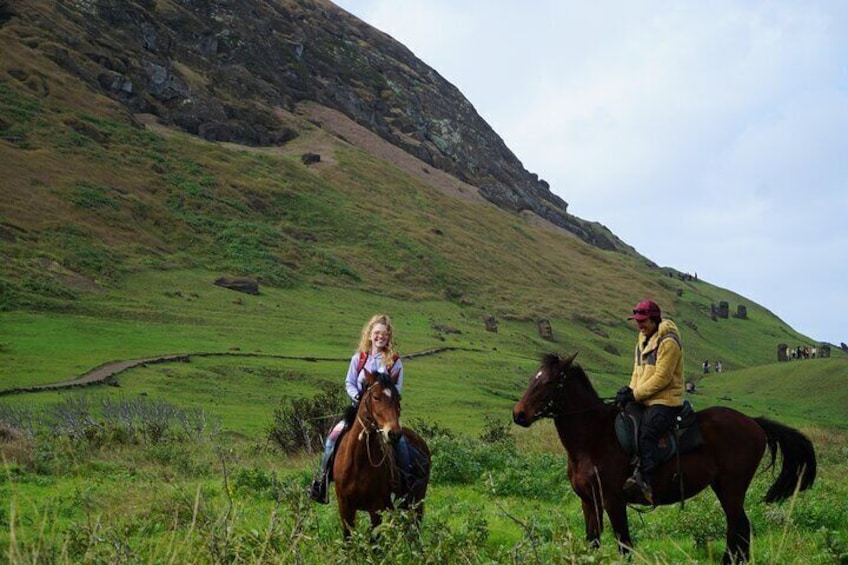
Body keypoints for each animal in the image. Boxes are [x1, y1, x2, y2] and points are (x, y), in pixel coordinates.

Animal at [332, 368, 430, 536]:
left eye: (398, 398)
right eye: (376, 397)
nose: (394, 434)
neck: (358, 462)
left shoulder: (376, 508)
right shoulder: (345, 507)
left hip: (416, 503)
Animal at [510, 352, 816, 560]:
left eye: (549, 382)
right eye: (533, 379)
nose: (519, 414)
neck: (593, 438)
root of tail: (753, 422)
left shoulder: (613, 500)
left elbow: (624, 545)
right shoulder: (589, 501)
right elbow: (593, 543)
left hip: (732, 487)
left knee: (738, 528)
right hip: (722, 486)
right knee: (740, 529)